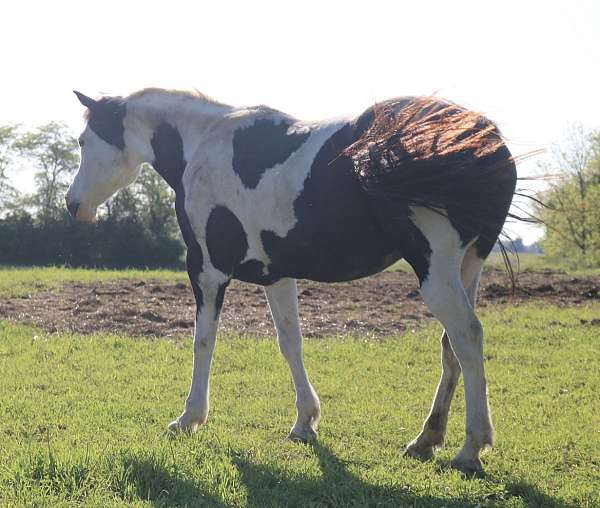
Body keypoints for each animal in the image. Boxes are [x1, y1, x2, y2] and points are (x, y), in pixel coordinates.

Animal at [65, 87, 516, 472]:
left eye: (83, 141)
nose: (72, 205)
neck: (204, 143)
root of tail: (484, 137)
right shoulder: (277, 276)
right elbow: (290, 342)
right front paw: (305, 422)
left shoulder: (207, 271)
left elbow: (203, 342)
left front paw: (189, 418)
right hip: (467, 269)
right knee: (451, 347)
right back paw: (427, 439)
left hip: (436, 273)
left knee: (468, 337)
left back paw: (471, 447)